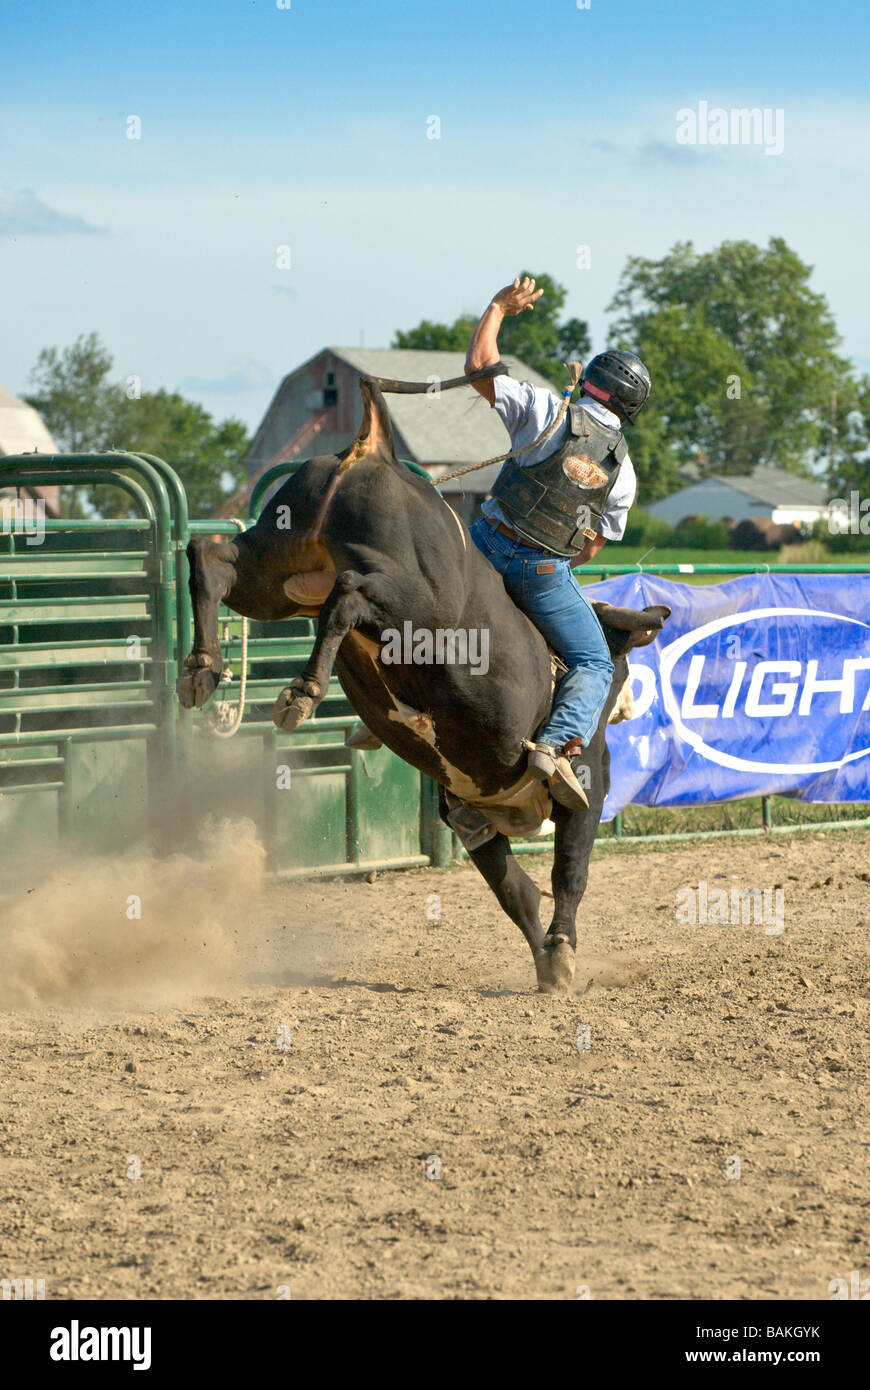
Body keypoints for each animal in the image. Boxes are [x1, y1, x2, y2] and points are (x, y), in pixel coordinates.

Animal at [174, 380, 664, 989]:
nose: (629, 705)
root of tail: (374, 452)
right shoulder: (587, 786)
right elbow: (569, 872)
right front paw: (560, 956)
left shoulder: (466, 809)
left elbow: (514, 891)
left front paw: (547, 960)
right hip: (409, 605)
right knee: (348, 593)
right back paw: (299, 694)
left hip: (276, 564)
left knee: (213, 559)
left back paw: (201, 669)